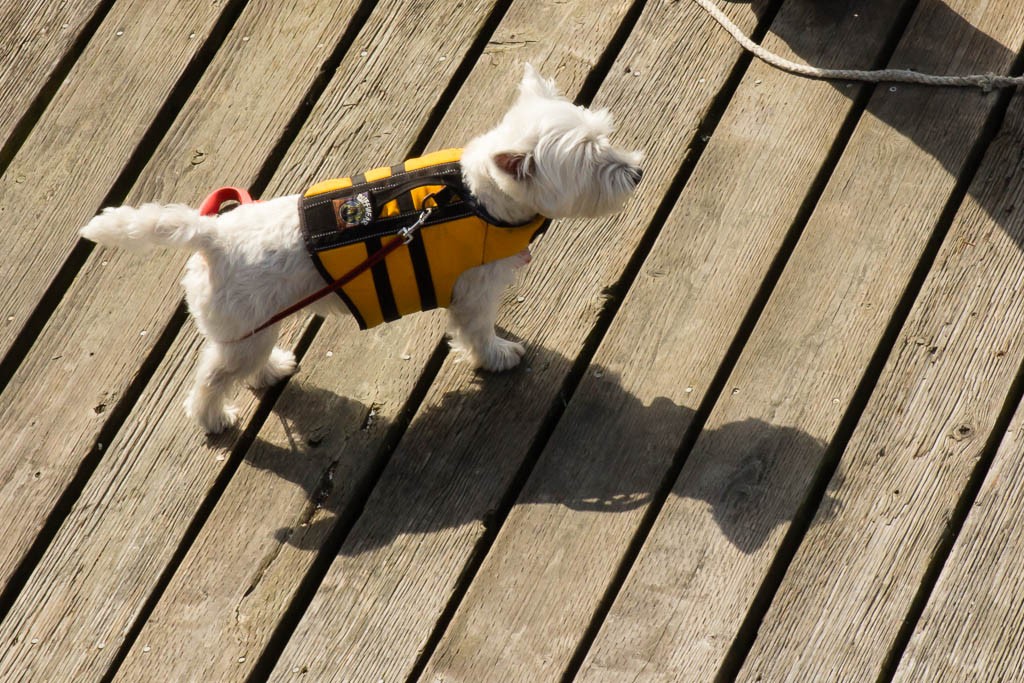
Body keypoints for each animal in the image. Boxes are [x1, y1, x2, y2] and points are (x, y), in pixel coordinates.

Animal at [79, 66, 643, 436]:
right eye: (592, 160)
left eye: (607, 135)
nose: (637, 172)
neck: (473, 195)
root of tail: (210, 238)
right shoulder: (474, 294)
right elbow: (479, 334)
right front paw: (499, 356)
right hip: (241, 336)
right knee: (210, 380)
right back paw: (214, 418)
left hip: (257, 330)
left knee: (247, 363)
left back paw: (274, 368)